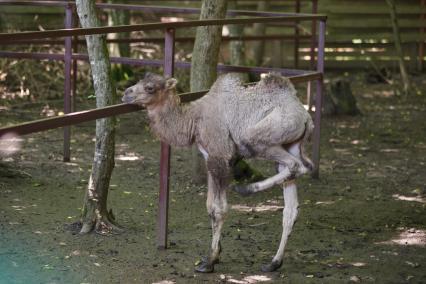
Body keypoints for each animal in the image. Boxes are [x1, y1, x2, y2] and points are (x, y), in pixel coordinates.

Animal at [121, 72, 314, 272]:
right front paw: (217, 253)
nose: (126, 93)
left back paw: (245, 189)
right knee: (291, 203)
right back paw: (274, 263)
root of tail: (306, 117)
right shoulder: (209, 159)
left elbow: (219, 209)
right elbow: (209, 206)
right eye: (141, 80)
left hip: (260, 136)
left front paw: (210, 261)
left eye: (150, 87)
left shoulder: (219, 156)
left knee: (298, 165)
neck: (193, 120)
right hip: (291, 144)